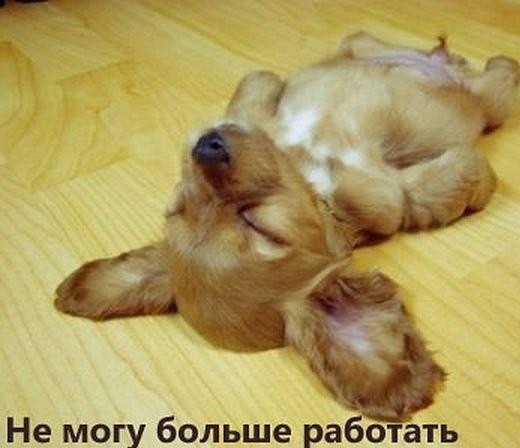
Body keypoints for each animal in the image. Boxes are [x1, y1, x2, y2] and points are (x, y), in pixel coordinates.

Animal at [55, 32, 519, 420]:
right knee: (501, 76)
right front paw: (472, 175)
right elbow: (447, 183)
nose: (208, 146)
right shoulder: (392, 197)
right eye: (262, 228)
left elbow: (253, 85)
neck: (302, 162)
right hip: (492, 101)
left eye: (178, 208)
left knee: (364, 43)